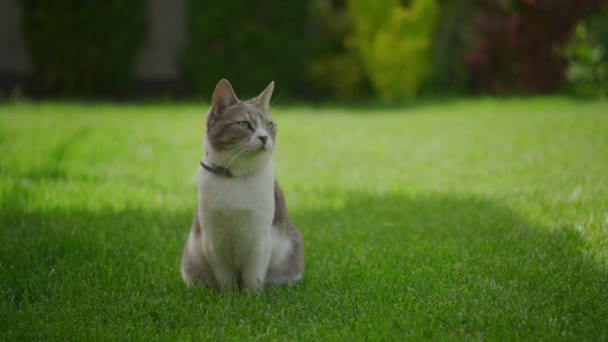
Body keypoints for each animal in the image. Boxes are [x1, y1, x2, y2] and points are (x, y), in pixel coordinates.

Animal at [180, 79, 304, 290]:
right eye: (244, 124)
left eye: (269, 125)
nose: (264, 137)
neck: (236, 177)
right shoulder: (213, 242)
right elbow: (225, 278)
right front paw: (228, 295)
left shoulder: (260, 240)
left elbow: (253, 277)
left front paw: (251, 296)